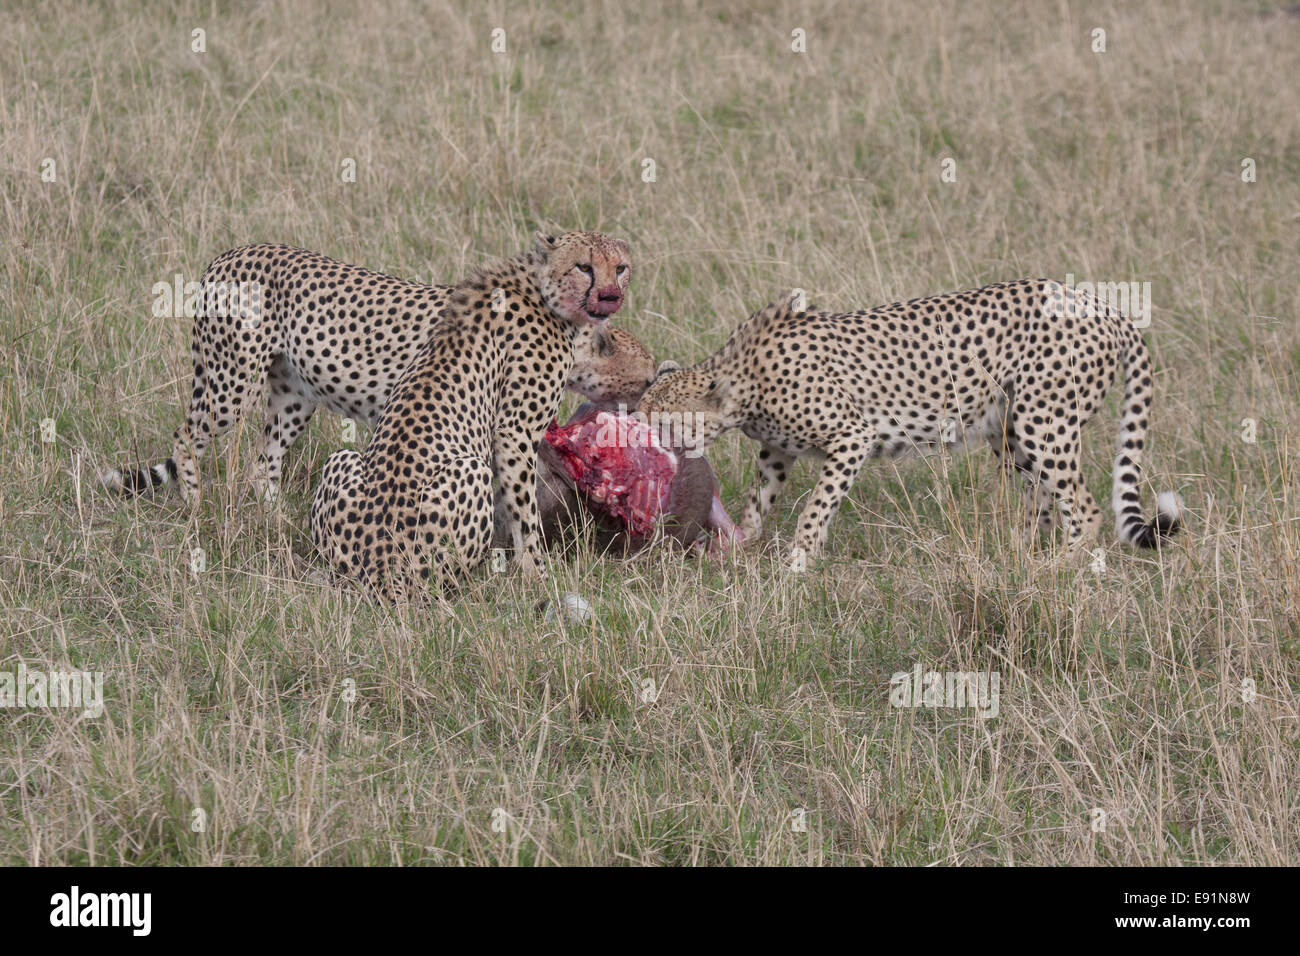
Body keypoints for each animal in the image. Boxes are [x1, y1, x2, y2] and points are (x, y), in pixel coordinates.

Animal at [305, 230, 629, 598]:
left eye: (620, 268)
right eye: (584, 267)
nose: (609, 296)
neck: (536, 286)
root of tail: (377, 565)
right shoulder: (515, 432)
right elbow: (524, 510)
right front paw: (537, 575)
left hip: (341, 460)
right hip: (468, 474)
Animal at [639, 277, 1190, 561]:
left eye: (659, 420)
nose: (637, 439)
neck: (743, 379)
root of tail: (1104, 306)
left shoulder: (852, 436)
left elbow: (815, 509)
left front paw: (796, 565)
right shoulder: (777, 449)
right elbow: (760, 501)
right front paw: (743, 545)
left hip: (1044, 422)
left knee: (1085, 507)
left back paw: (1062, 567)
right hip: (1009, 429)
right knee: (1041, 500)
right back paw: (1020, 555)